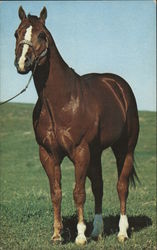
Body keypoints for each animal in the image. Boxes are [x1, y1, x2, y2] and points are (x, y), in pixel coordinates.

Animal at [14, 6, 139, 245]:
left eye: (41, 35)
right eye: (17, 33)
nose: (23, 62)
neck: (61, 102)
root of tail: (119, 86)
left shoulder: (80, 151)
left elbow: (78, 192)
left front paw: (80, 235)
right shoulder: (48, 154)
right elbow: (56, 192)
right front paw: (56, 235)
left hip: (124, 149)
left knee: (121, 187)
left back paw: (122, 232)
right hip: (96, 152)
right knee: (99, 186)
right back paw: (97, 231)